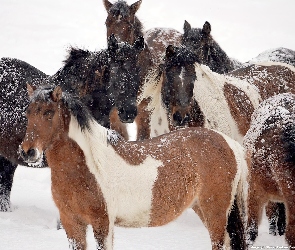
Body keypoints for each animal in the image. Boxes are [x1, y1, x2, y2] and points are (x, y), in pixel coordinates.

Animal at [19, 84, 249, 250]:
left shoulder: (103, 224)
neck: (88, 167)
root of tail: (231, 145)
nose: (28, 152)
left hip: (215, 211)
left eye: (49, 113)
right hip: (202, 208)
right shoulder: (72, 224)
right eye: (28, 112)